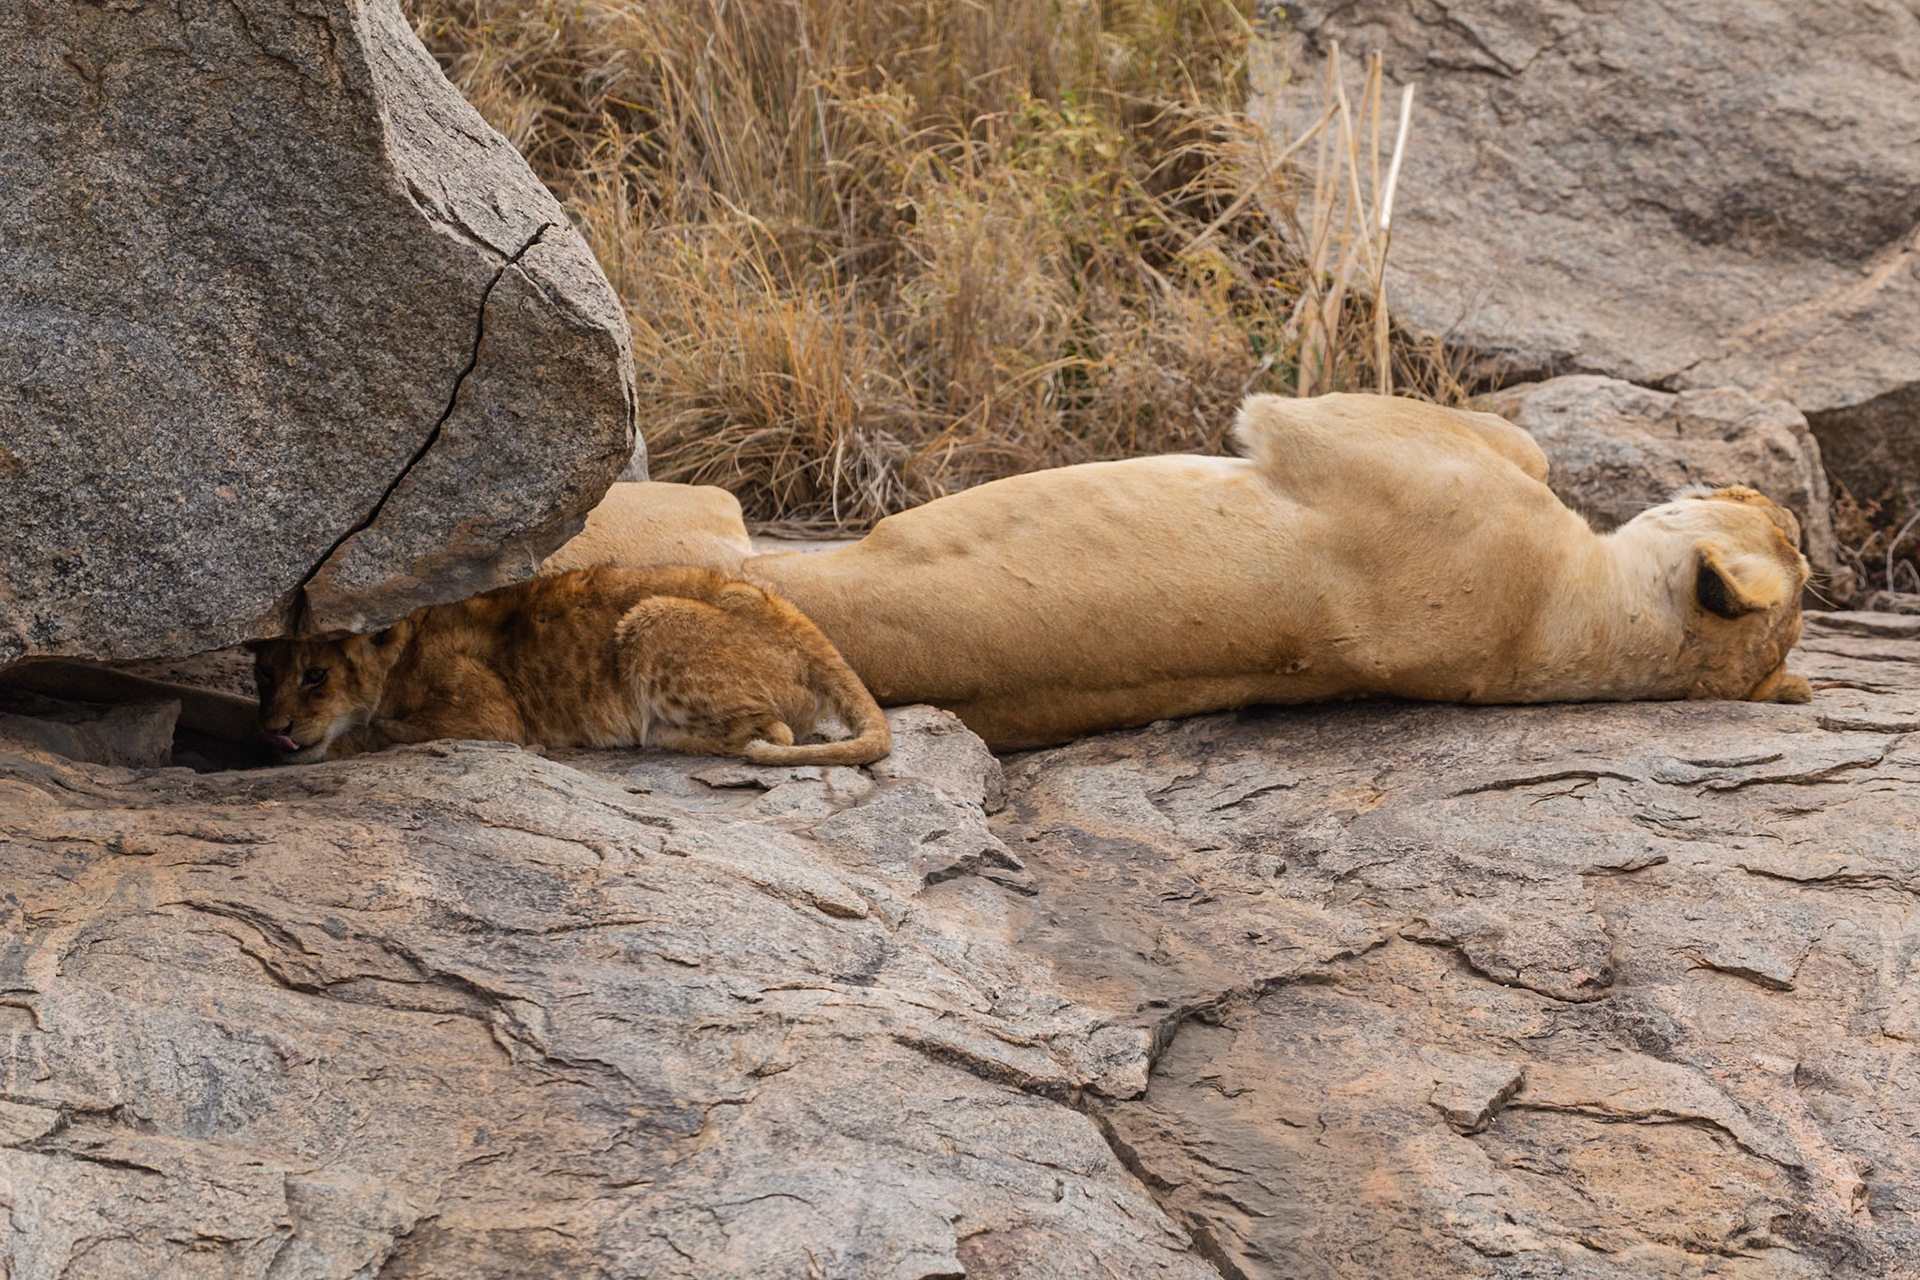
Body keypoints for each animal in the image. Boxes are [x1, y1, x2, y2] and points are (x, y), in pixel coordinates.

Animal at [249, 566, 890, 766]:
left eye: (316, 675)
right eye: (264, 675)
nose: (274, 731)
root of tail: (796, 617)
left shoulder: (491, 719)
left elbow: (380, 733)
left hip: (650, 617)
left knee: (774, 733)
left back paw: (652, 737)